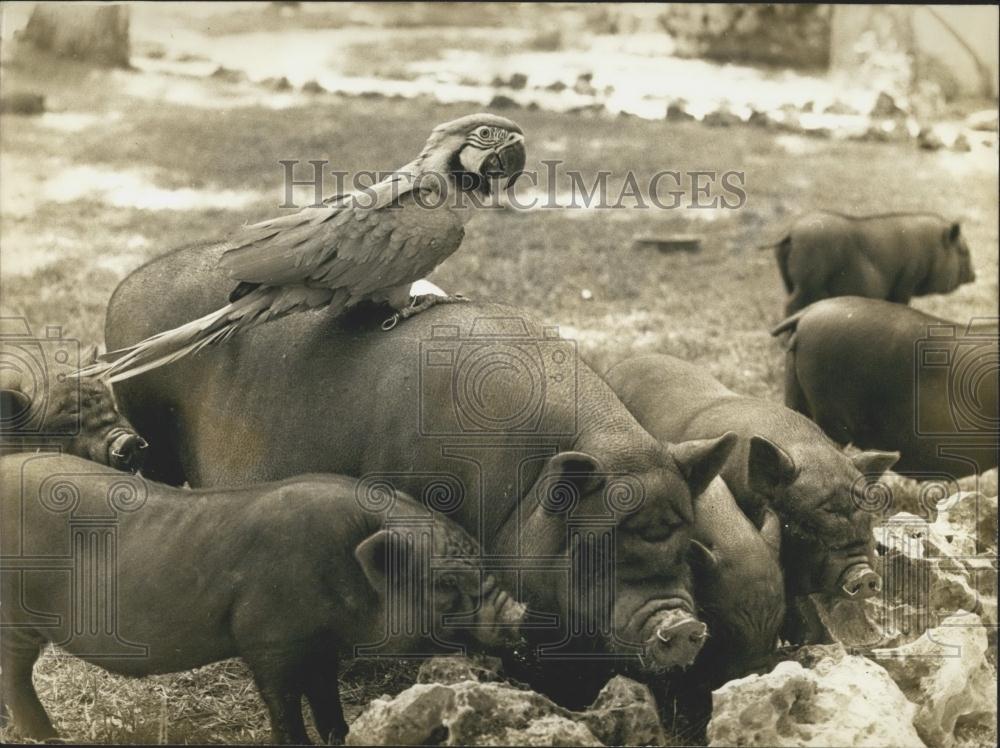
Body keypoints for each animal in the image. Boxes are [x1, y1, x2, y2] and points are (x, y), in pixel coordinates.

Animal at [0, 452, 526, 744]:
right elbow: (284, 701)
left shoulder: (320, 643)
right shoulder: (270, 638)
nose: (519, 613)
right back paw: (50, 737)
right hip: (14, 619)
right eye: (446, 584)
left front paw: (342, 735)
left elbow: (325, 694)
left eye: (480, 559)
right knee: (15, 676)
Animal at [102, 241, 738, 697]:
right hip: (151, 429)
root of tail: (125, 284)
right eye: (594, 545)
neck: (524, 487)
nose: (682, 625)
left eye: (685, 540)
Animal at [770, 211, 976, 316]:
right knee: (791, 304)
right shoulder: (907, 281)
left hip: (789, 280)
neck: (933, 249)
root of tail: (791, 232)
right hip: (807, 282)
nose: (975, 276)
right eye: (964, 251)